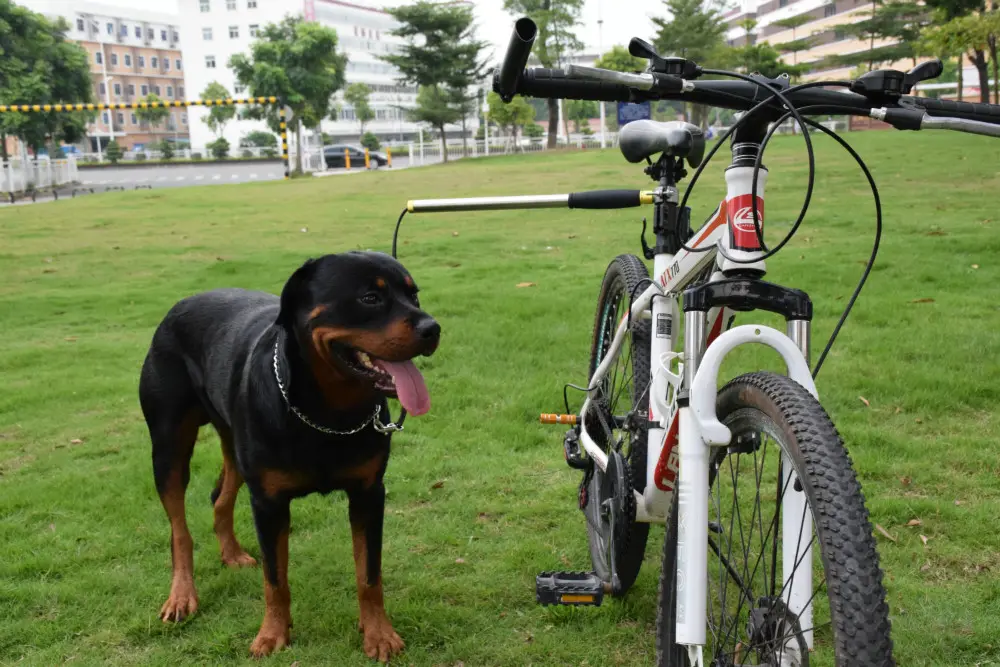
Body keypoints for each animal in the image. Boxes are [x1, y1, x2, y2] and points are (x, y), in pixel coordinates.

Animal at [139, 252, 440, 664]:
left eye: (414, 295)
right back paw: (182, 595)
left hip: (233, 441)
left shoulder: (368, 493)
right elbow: (275, 578)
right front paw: (272, 634)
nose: (433, 329)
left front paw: (379, 633)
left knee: (220, 496)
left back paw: (231, 554)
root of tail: (179, 305)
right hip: (169, 447)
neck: (328, 412)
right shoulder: (268, 502)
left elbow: (369, 574)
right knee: (178, 529)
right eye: (369, 298)